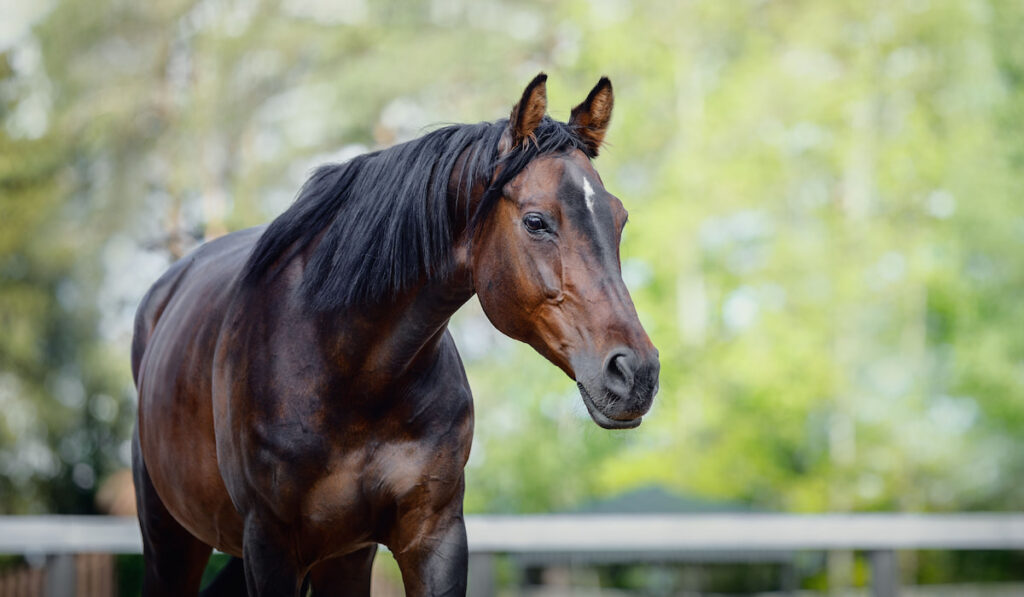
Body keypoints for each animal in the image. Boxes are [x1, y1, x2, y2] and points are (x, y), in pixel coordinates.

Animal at [132, 75, 659, 597]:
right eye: (535, 221)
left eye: (619, 219)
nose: (637, 373)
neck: (350, 370)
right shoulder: (269, 546)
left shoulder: (434, 538)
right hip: (169, 538)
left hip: (343, 556)